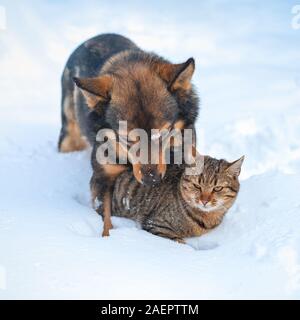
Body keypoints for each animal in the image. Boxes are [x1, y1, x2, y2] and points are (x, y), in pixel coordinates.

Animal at [58, 33, 199, 236]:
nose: (151, 179)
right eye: (127, 138)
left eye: (163, 133)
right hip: (69, 137)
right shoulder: (103, 179)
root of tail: (98, 36)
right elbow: (106, 218)